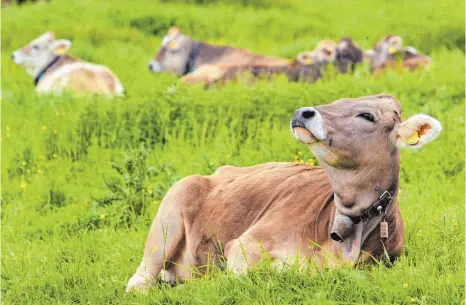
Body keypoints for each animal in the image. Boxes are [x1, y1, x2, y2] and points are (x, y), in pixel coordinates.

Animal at [126, 93, 440, 292]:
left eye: (366, 115)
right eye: (337, 102)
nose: (302, 112)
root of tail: (218, 172)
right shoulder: (244, 245)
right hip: (168, 217)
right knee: (140, 282)